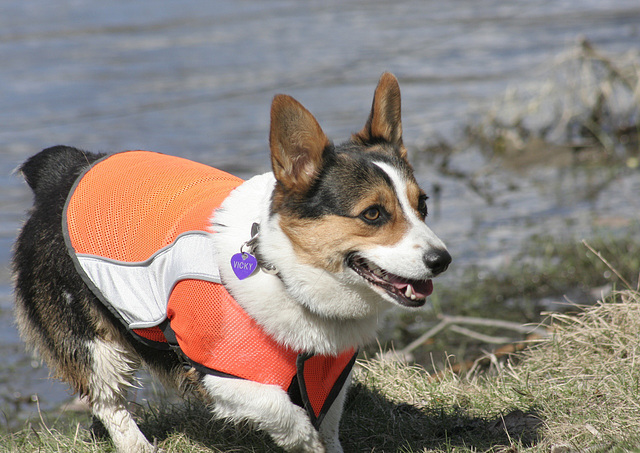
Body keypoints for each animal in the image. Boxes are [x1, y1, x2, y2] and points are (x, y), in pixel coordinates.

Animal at [11, 72, 450, 450]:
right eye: (373, 214)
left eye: (423, 205)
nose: (442, 260)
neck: (283, 271)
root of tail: (65, 171)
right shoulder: (221, 374)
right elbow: (287, 415)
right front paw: (303, 440)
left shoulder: (329, 375)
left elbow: (328, 423)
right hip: (91, 342)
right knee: (109, 402)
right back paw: (139, 445)